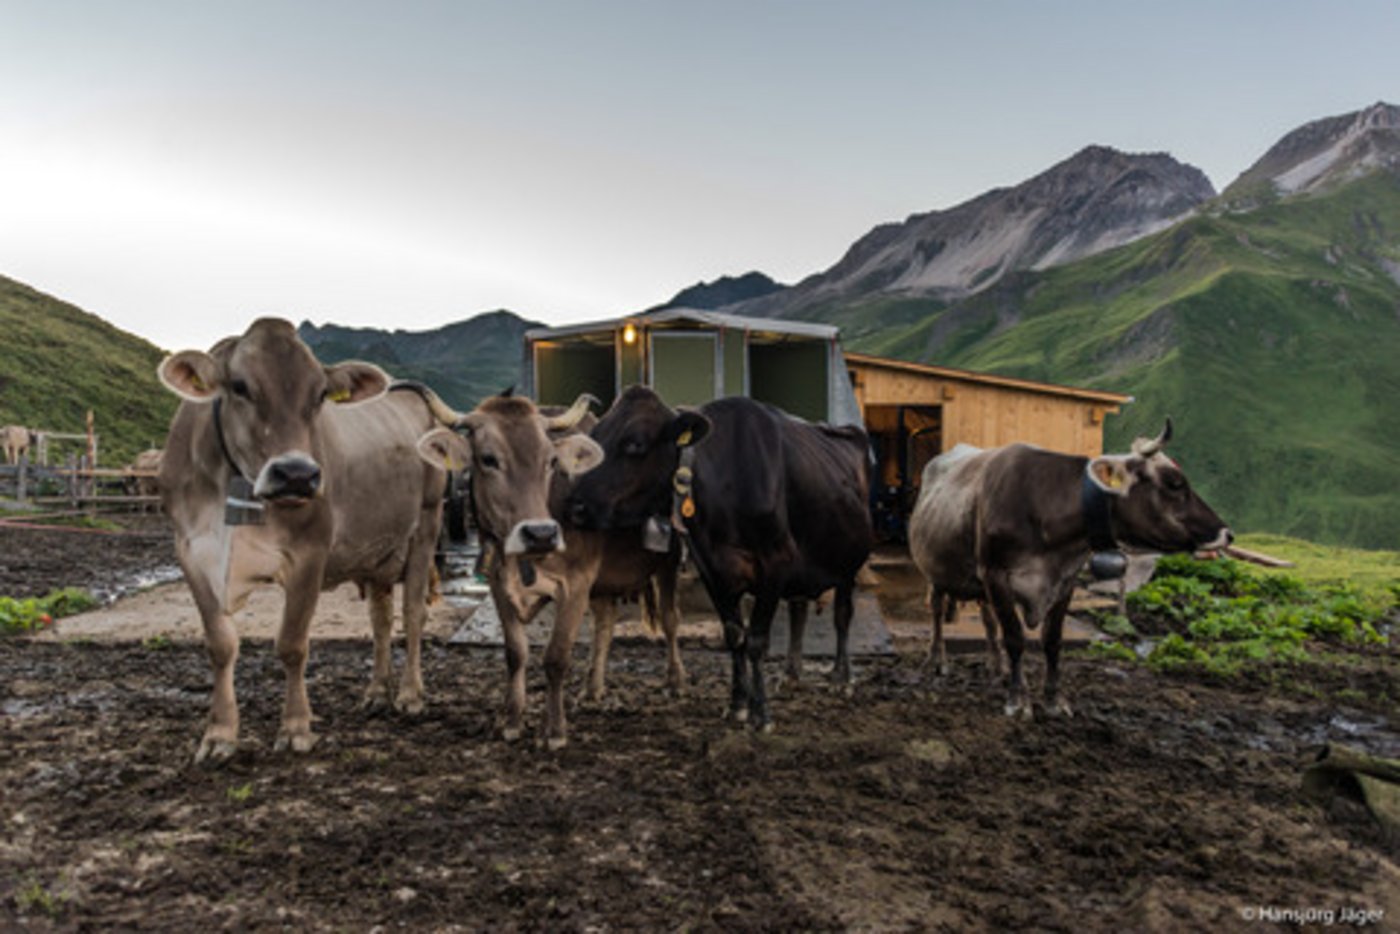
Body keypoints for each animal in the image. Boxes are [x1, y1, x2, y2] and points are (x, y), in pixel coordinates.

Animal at [158, 317, 455, 763]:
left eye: (319, 394)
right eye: (240, 386)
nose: (296, 474)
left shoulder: (310, 553)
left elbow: (292, 644)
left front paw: (296, 727)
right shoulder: (192, 551)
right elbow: (220, 645)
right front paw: (219, 734)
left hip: (426, 526)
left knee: (413, 615)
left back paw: (409, 694)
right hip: (378, 553)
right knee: (381, 619)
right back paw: (376, 692)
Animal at [416, 392, 689, 748]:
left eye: (551, 461)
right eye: (488, 459)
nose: (541, 534)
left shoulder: (576, 584)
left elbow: (556, 657)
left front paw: (554, 730)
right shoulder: (499, 584)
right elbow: (515, 654)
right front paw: (511, 720)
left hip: (667, 562)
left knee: (670, 619)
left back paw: (676, 680)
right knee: (606, 623)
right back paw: (592, 689)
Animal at [565, 387, 875, 731]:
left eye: (634, 444)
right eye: (595, 436)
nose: (574, 505)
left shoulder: (776, 564)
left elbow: (756, 641)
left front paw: (760, 714)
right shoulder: (712, 570)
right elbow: (734, 636)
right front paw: (737, 704)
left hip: (849, 565)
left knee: (842, 616)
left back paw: (841, 678)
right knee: (798, 609)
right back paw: (791, 676)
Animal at [907, 423, 1232, 718]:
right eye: (1174, 483)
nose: (1226, 533)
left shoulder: (1065, 579)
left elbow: (1052, 641)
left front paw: (1053, 700)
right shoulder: (995, 575)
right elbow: (1014, 638)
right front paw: (1018, 700)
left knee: (987, 619)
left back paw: (995, 666)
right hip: (935, 570)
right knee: (936, 611)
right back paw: (936, 660)